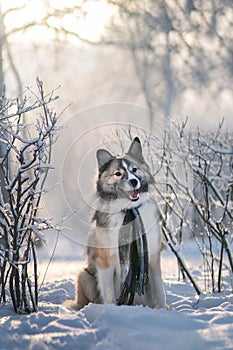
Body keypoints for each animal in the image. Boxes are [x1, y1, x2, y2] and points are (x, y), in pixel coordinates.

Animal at [63, 138, 166, 310]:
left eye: (134, 170)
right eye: (118, 174)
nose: (133, 181)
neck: (128, 210)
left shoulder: (152, 258)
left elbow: (159, 291)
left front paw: (163, 310)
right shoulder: (105, 262)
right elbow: (109, 294)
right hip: (84, 276)